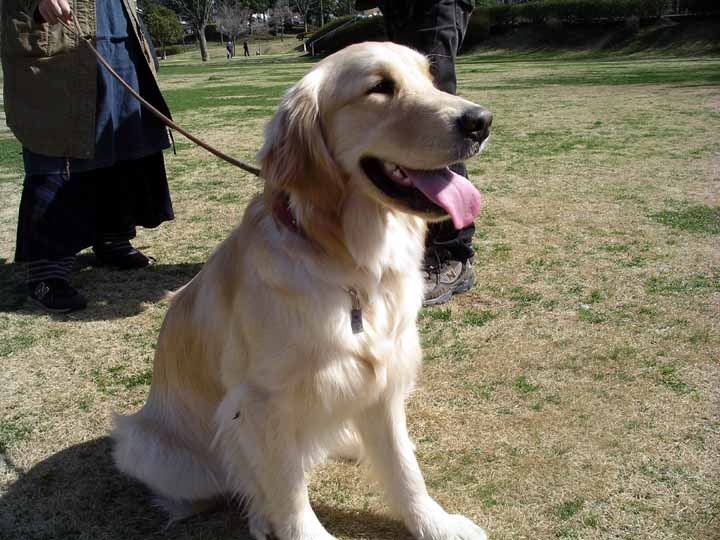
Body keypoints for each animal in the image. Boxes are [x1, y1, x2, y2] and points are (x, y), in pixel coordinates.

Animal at [112, 42, 492, 540]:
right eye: (379, 87)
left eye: (431, 77)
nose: (481, 120)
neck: (350, 262)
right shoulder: (260, 406)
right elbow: (288, 491)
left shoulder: (384, 375)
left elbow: (405, 468)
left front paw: (435, 523)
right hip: (145, 445)